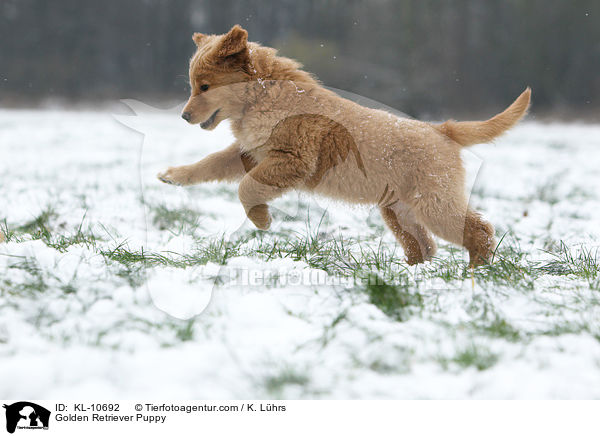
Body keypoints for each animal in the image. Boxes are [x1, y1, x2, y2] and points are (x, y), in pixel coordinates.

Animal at [158, 26, 528, 270]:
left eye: (205, 86)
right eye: (194, 85)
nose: (184, 115)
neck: (264, 96)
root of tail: (442, 129)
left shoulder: (293, 160)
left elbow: (246, 187)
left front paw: (261, 219)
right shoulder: (250, 153)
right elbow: (210, 164)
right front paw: (174, 175)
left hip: (434, 203)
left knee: (478, 229)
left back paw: (478, 269)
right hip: (398, 209)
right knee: (424, 244)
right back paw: (410, 273)